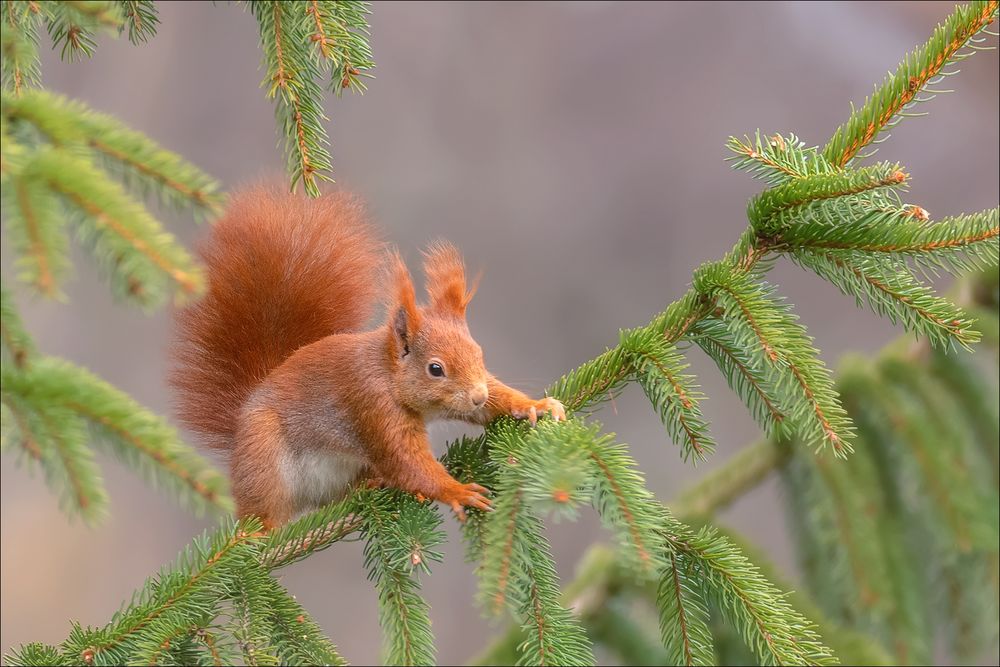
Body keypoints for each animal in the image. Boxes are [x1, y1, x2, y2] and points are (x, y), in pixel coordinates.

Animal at [172, 185, 564, 528]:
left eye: (479, 353)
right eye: (435, 369)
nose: (477, 394)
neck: (388, 373)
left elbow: (493, 404)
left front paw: (536, 406)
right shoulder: (372, 405)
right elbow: (406, 461)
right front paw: (456, 491)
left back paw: (371, 485)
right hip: (263, 456)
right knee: (262, 512)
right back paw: (258, 534)